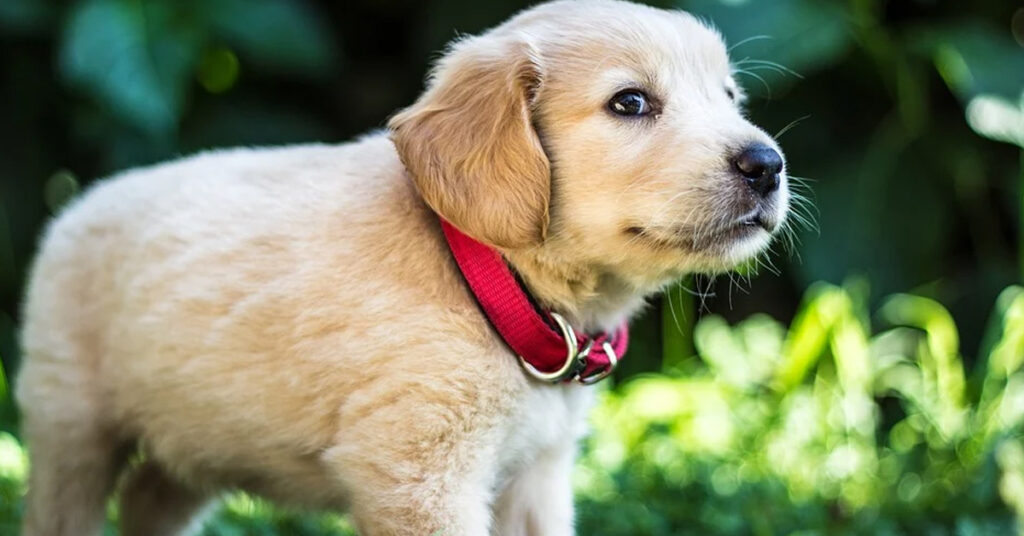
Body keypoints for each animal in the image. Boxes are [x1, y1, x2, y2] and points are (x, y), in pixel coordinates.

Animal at [16, 0, 786, 532]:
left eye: (730, 98)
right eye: (631, 102)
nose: (768, 164)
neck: (489, 278)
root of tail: (78, 204)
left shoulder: (537, 477)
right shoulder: (420, 476)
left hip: (196, 440)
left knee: (150, 495)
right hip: (70, 426)